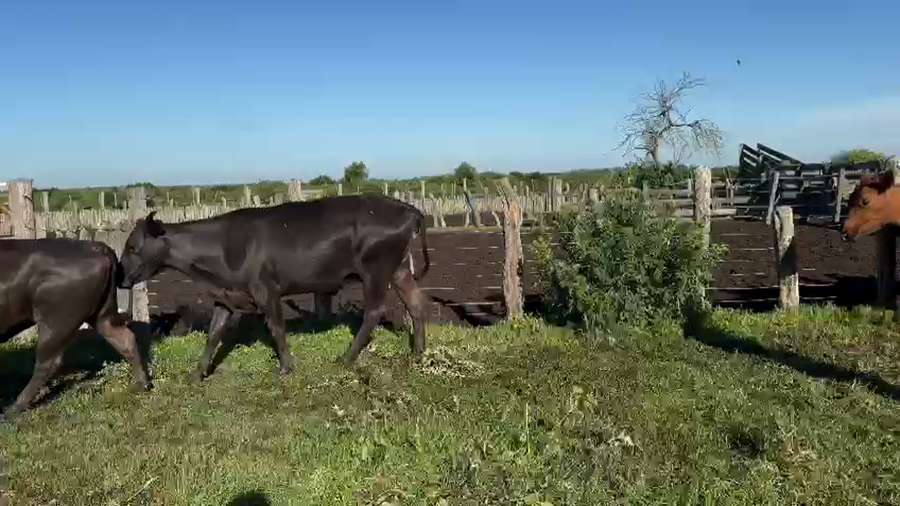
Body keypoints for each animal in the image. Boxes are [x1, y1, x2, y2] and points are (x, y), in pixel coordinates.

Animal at [0, 238, 152, 419]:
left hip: (55, 323)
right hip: (101, 316)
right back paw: (141, 385)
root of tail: (95, 247)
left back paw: (13, 408)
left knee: (47, 363)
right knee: (125, 339)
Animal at [117, 193, 430, 380]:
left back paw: (347, 358)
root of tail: (408, 208)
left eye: (132, 246)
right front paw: (197, 374)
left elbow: (277, 328)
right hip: (398, 269)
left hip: (375, 271)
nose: (120, 276)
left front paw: (285, 367)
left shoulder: (266, 290)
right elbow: (213, 335)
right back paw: (418, 352)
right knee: (415, 303)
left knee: (374, 312)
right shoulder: (225, 296)